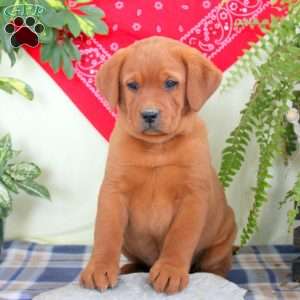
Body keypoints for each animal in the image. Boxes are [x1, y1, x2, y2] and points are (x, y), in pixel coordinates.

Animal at [79, 36, 237, 294]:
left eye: (171, 83)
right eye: (132, 85)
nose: (149, 114)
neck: (157, 148)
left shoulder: (193, 196)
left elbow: (179, 237)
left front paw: (170, 270)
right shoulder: (113, 190)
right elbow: (106, 232)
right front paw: (100, 266)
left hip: (224, 236)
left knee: (214, 267)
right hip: (130, 245)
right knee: (139, 261)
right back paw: (128, 268)